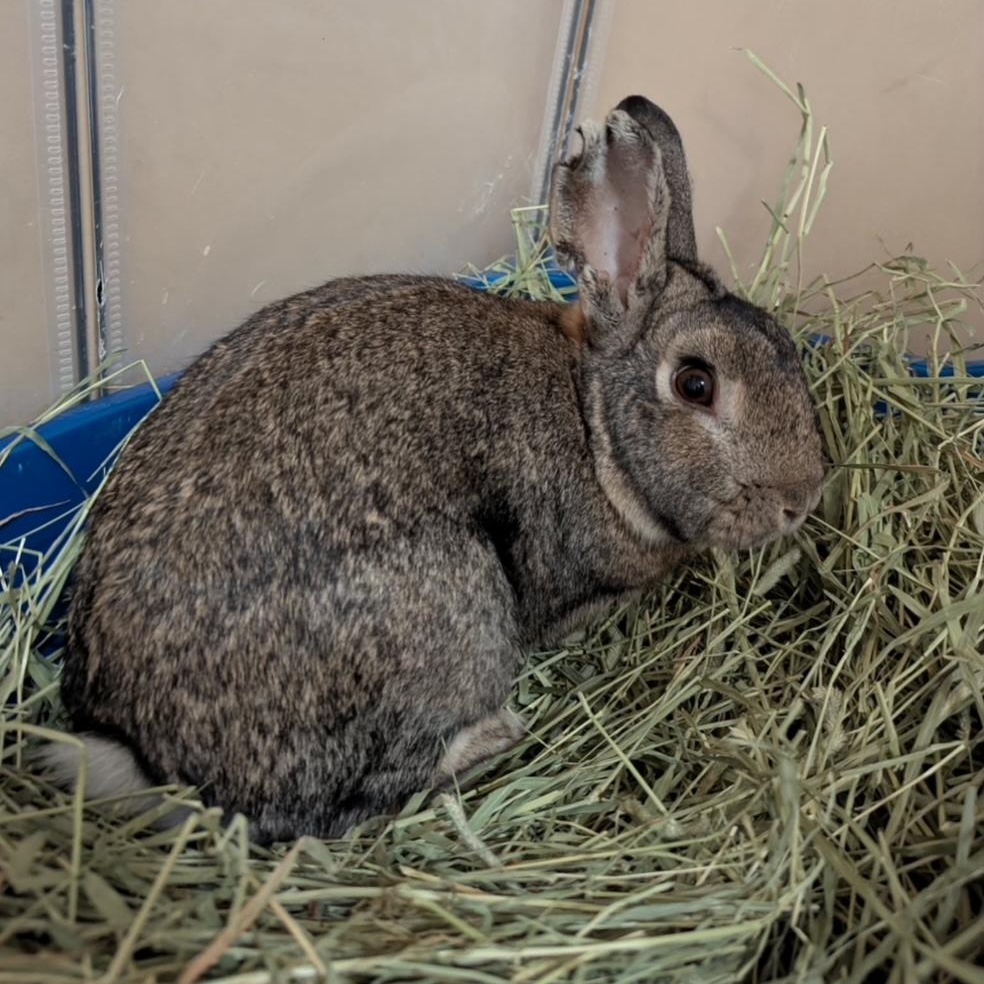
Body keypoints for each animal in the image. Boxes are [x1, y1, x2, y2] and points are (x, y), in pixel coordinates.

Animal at [45, 95, 825, 843]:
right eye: (695, 383)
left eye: (787, 348)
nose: (802, 499)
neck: (593, 424)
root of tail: (145, 754)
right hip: (457, 610)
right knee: (337, 807)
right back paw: (495, 736)